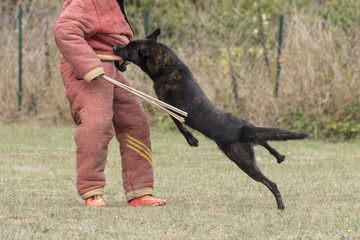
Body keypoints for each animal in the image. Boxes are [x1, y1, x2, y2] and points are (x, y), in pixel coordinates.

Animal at [114, 28, 308, 209]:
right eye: (127, 43)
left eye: (129, 48)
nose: (115, 46)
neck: (167, 67)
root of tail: (241, 130)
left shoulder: (169, 107)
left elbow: (180, 126)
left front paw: (192, 140)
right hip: (250, 136)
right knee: (266, 142)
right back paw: (279, 156)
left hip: (241, 159)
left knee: (271, 183)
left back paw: (280, 205)